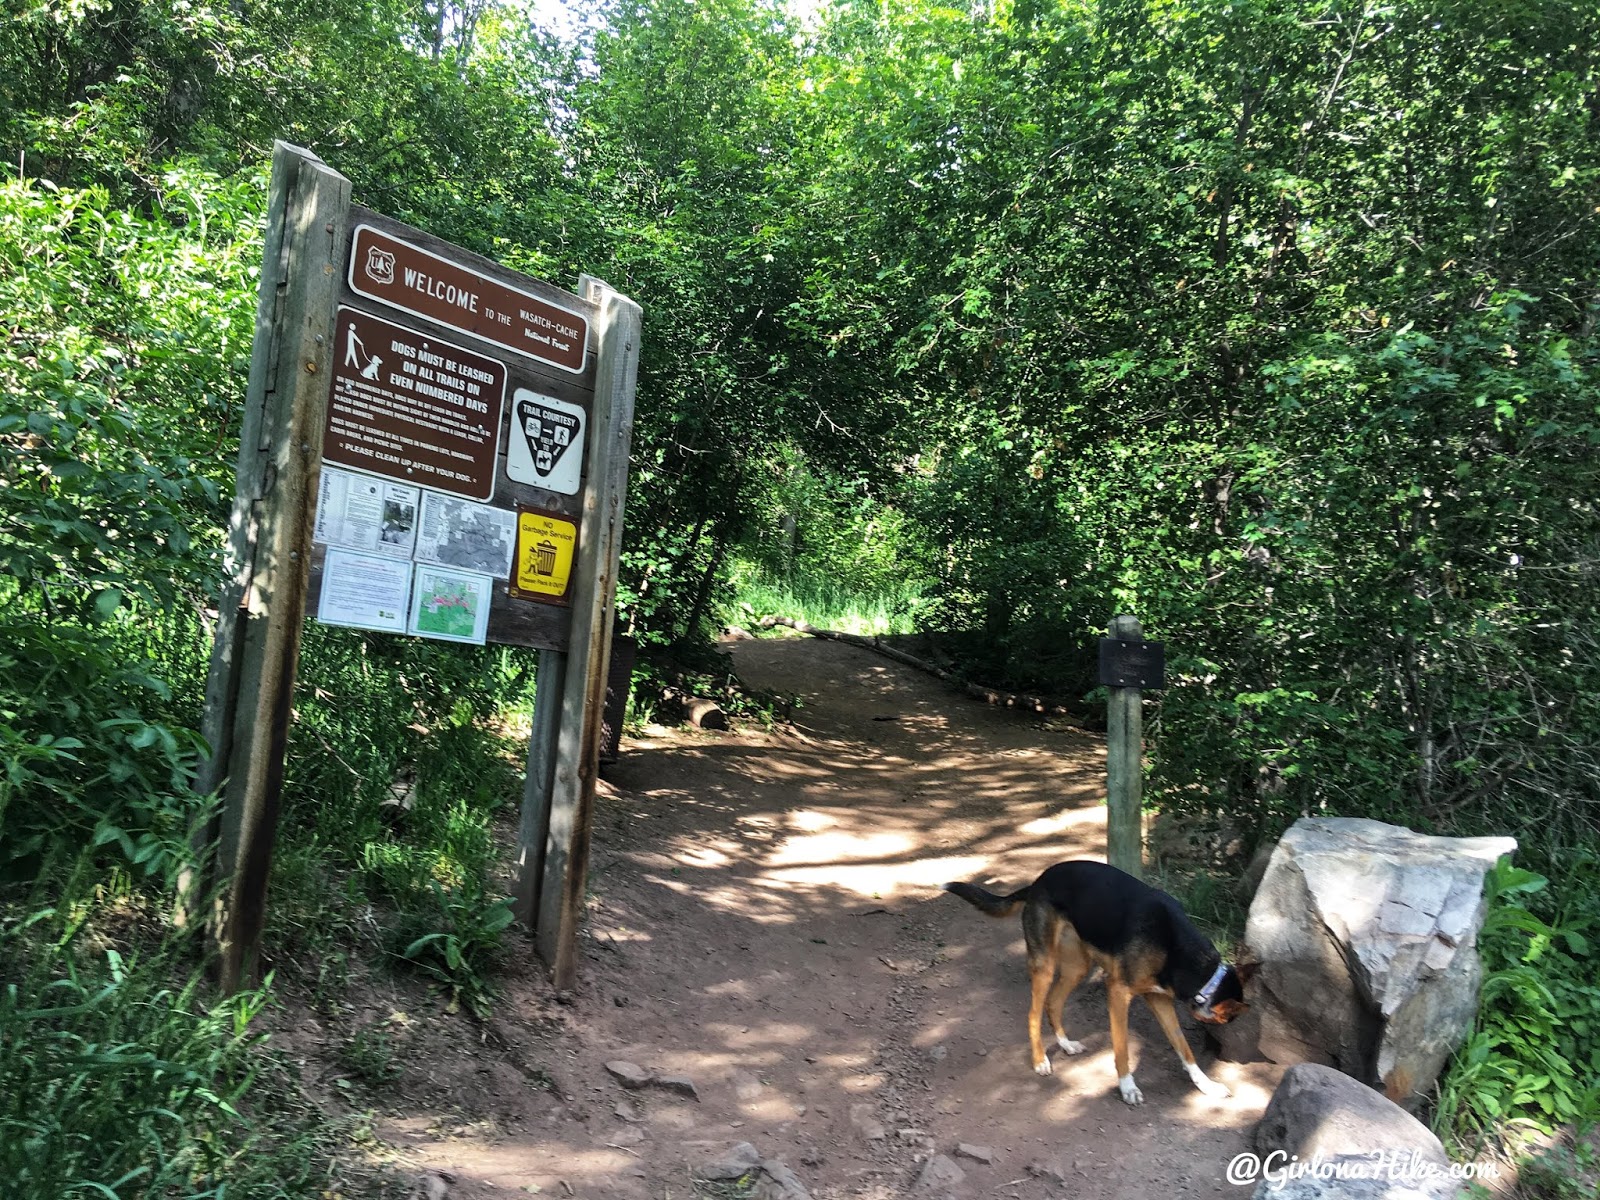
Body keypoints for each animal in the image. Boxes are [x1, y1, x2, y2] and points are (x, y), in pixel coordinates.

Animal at [940, 864, 1254, 1107]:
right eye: (1228, 1019)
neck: (1177, 949)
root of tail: (1038, 881)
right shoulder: (1118, 992)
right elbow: (1122, 1049)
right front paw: (1127, 1087)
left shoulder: (1159, 999)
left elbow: (1184, 1048)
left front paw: (1206, 1085)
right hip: (1045, 966)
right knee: (1033, 1013)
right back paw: (1040, 1060)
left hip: (1076, 967)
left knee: (1053, 1003)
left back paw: (1066, 1044)